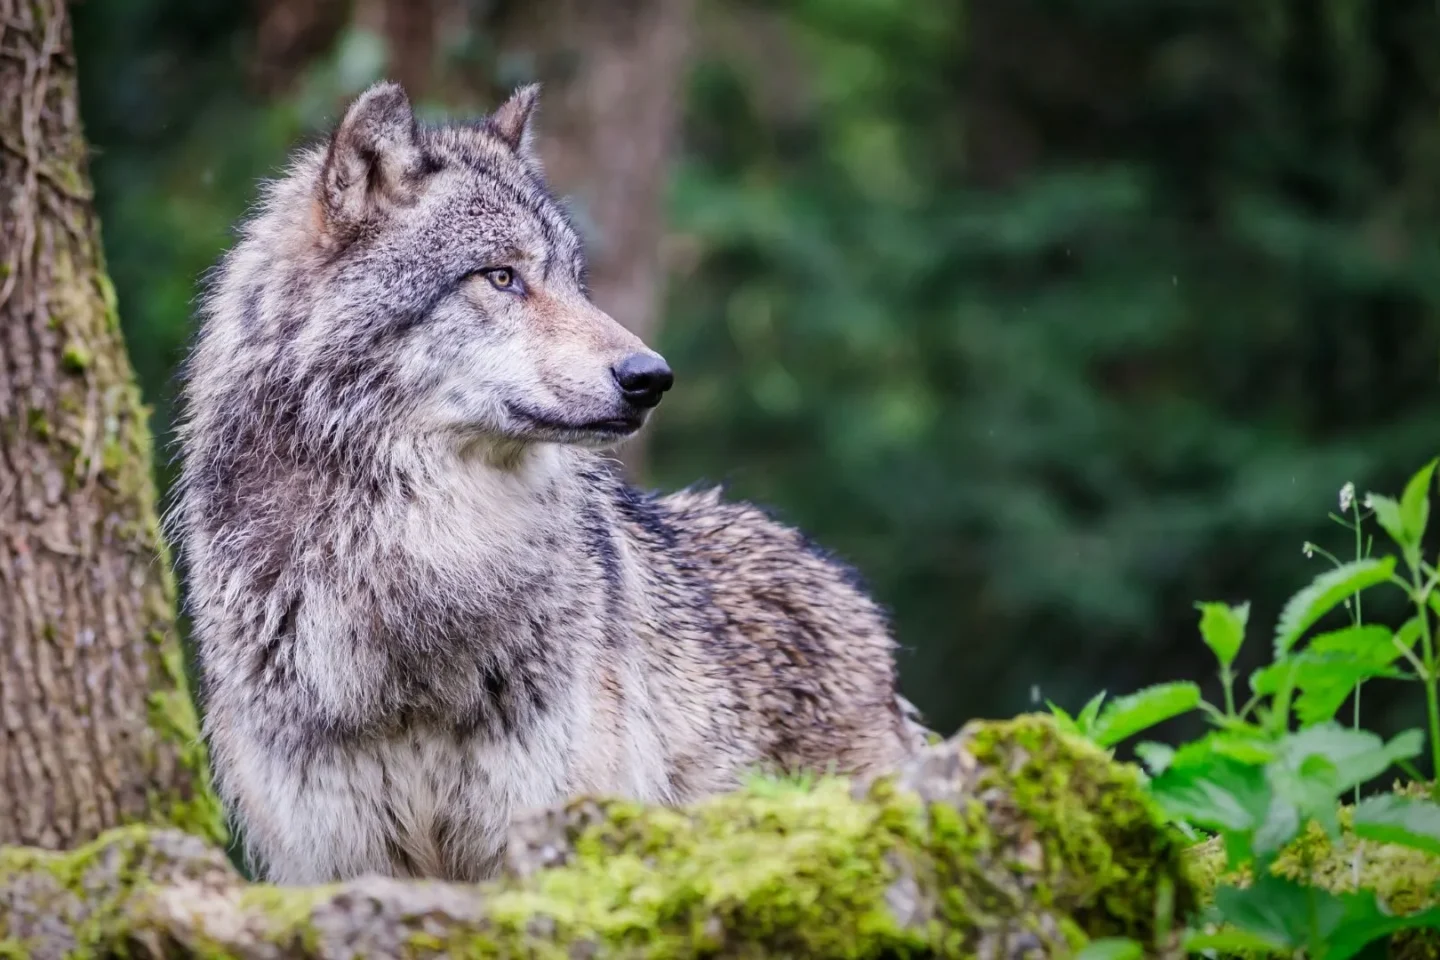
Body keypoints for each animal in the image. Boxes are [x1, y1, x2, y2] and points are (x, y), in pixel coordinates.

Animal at [172, 80, 925, 884]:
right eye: (501, 276)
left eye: (572, 281)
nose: (652, 378)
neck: (418, 566)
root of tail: (847, 587)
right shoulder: (341, 861)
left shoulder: (541, 831)